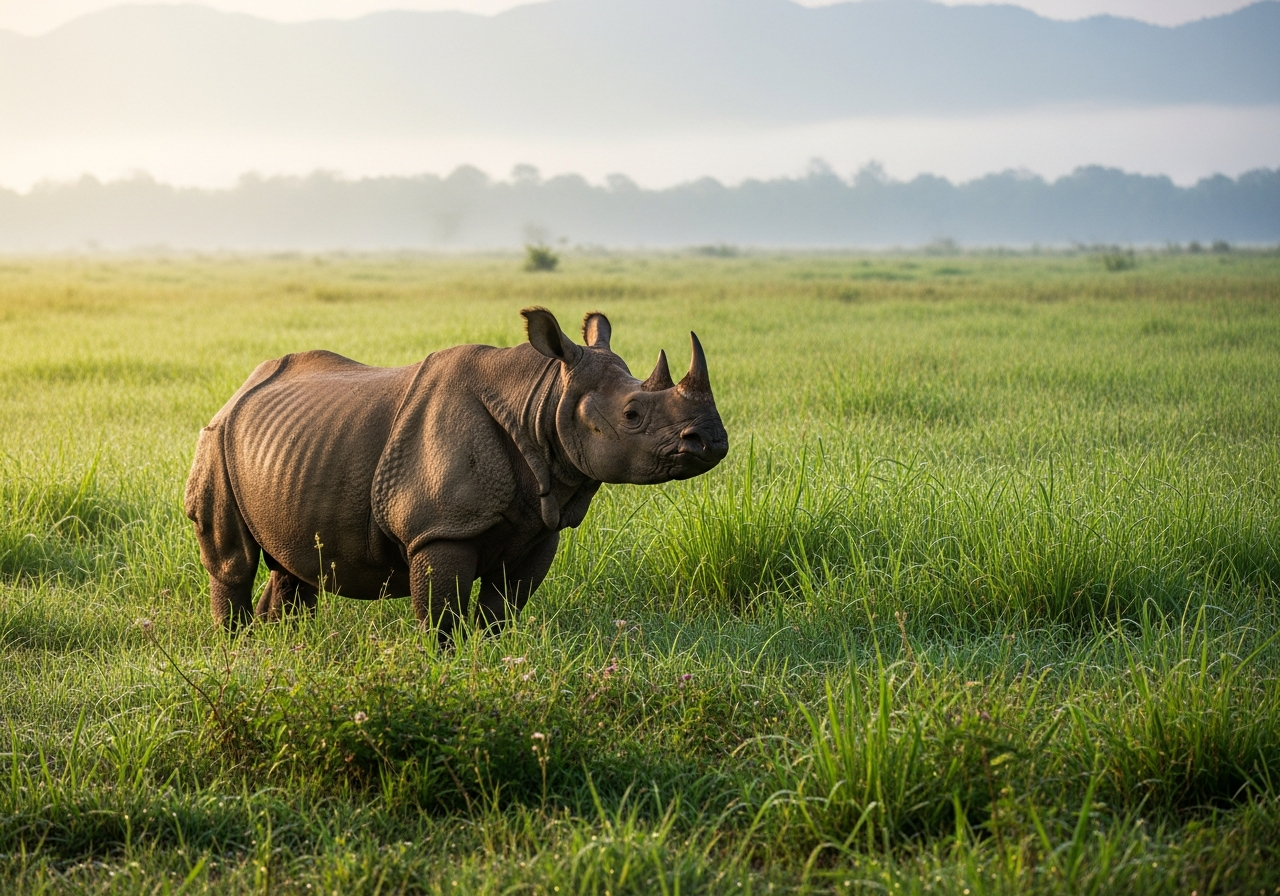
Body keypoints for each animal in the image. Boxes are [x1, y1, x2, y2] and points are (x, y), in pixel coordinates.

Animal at [184, 308, 728, 641]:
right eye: (633, 415)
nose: (713, 441)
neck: (542, 399)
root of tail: (240, 388)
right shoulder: (439, 528)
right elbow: (440, 617)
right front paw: (441, 667)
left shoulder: (540, 527)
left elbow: (502, 609)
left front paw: (490, 658)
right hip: (216, 438)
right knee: (233, 563)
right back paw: (237, 650)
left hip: (292, 450)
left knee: (292, 568)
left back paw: (280, 649)